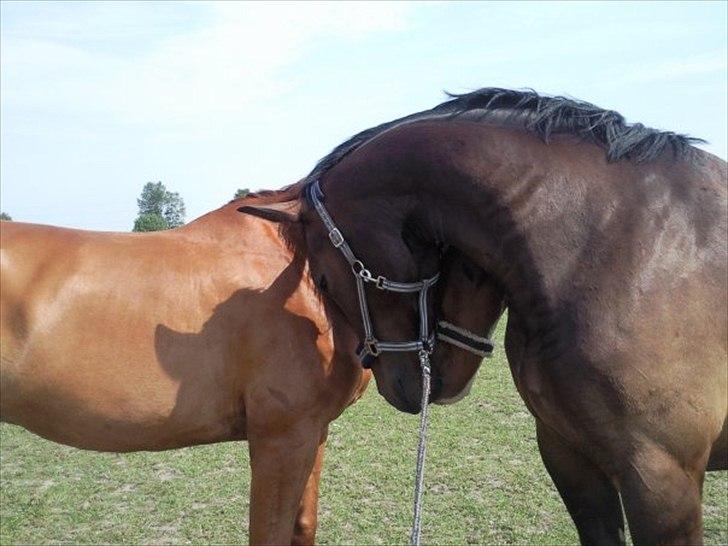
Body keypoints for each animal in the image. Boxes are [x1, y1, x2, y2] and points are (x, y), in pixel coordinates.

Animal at [243, 87, 728, 540]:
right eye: (463, 263)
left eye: (323, 280)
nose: (408, 389)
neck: (621, 249)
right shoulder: (569, 454)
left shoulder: (662, 480)